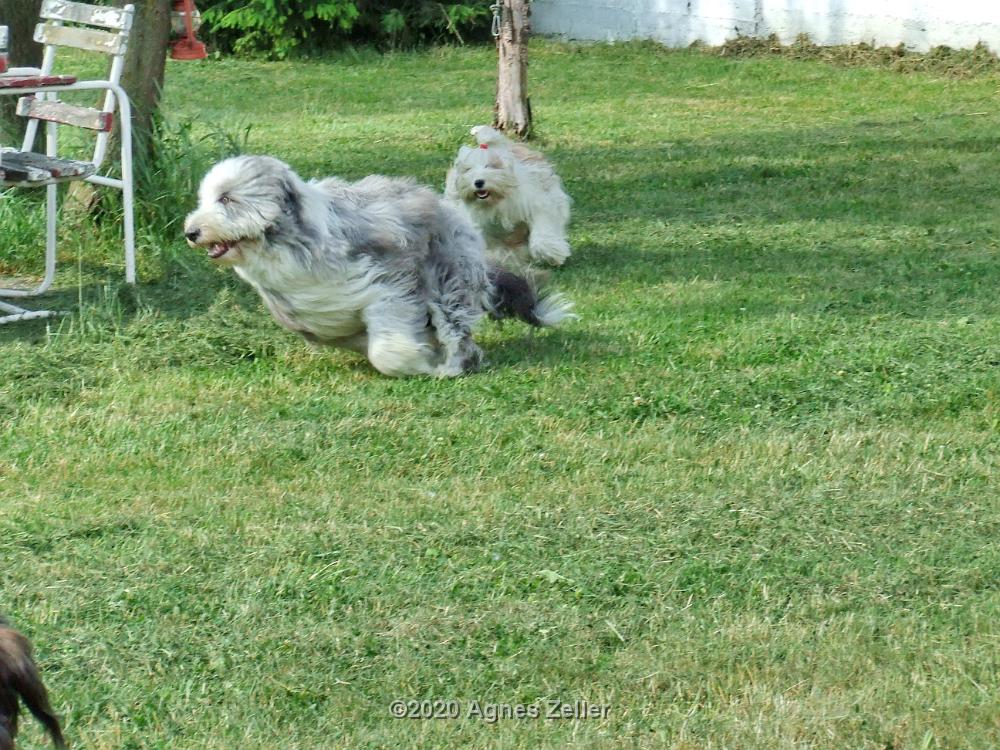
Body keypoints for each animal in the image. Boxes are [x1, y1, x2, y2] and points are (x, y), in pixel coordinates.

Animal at [184, 154, 576, 376]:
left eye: (227, 198)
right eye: (206, 199)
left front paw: (420, 364)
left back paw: (454, 365)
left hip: (448, 278)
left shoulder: (389, 284)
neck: (293, 245)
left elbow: (387, 350)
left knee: (454, 325)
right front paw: (421, 355)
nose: (190, 232)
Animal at [446, 128, 572, 268]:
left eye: (492, 166)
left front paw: (550, 253)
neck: (497, 201)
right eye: (468, 169)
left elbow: (543, 225)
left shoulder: (539, 204)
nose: (478, 182)